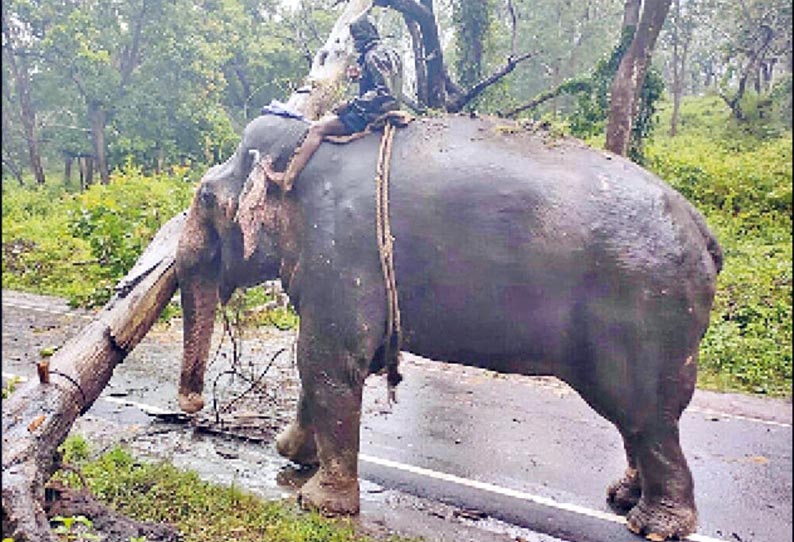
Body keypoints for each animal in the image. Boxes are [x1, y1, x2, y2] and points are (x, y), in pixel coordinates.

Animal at [176, 112, 720, 540]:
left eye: (204, 198)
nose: (192, 406)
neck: (302, 149)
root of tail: (701, 226)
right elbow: (335, 360)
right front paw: (290, 454)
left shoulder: (341, 249)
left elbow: (326, 358)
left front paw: (319, 504)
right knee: (639, 421)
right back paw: (623, 497)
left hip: (645, 317)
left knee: (647, 415)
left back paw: (654, 525)